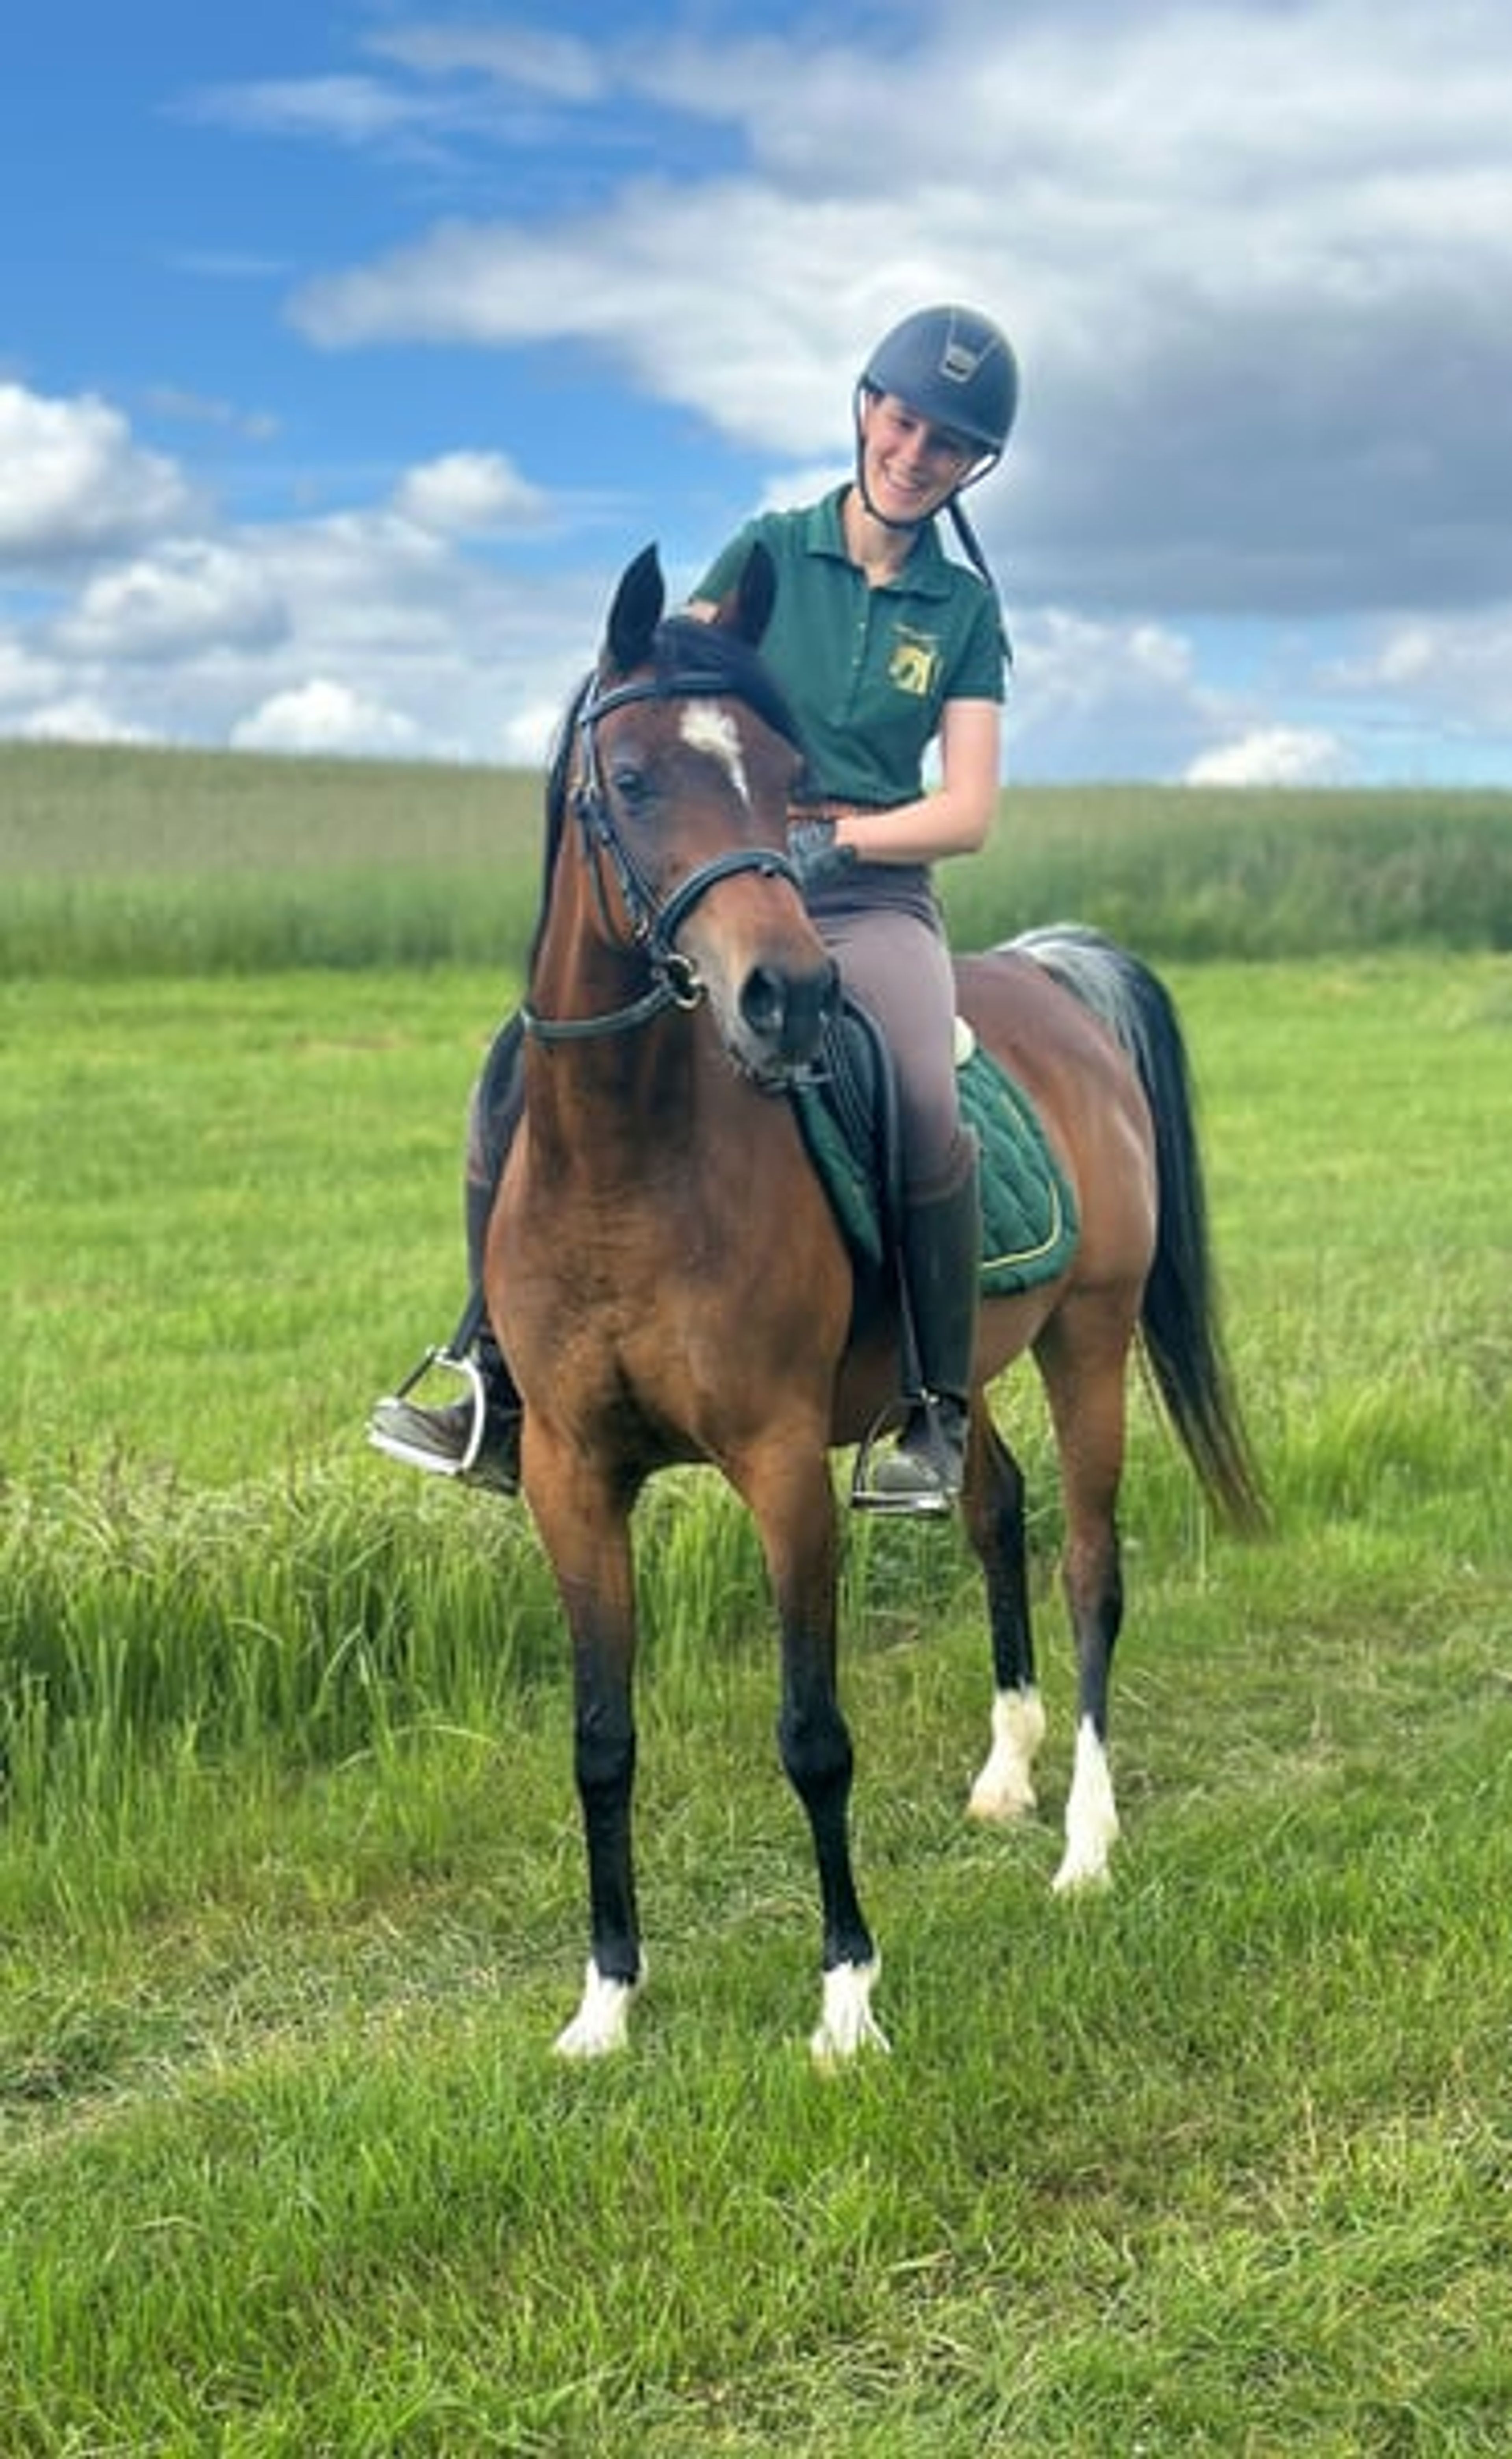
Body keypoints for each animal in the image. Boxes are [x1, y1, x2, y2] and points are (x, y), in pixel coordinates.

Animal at [488, 541, 1265, 2064]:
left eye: (790, 778)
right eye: (633, 781)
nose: (788, 995)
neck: (625, 1159)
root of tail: (1050, 975)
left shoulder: (783, 1463)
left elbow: (812, 1731)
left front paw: (847, 1996)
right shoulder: (567, 1470)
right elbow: (600, 1738)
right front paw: (604, 2000)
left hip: (1088, 1340)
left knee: (1089, 1565)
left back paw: (1084, 1841)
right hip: (955, 1379)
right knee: (992, 1503)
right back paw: (1007, 1772)